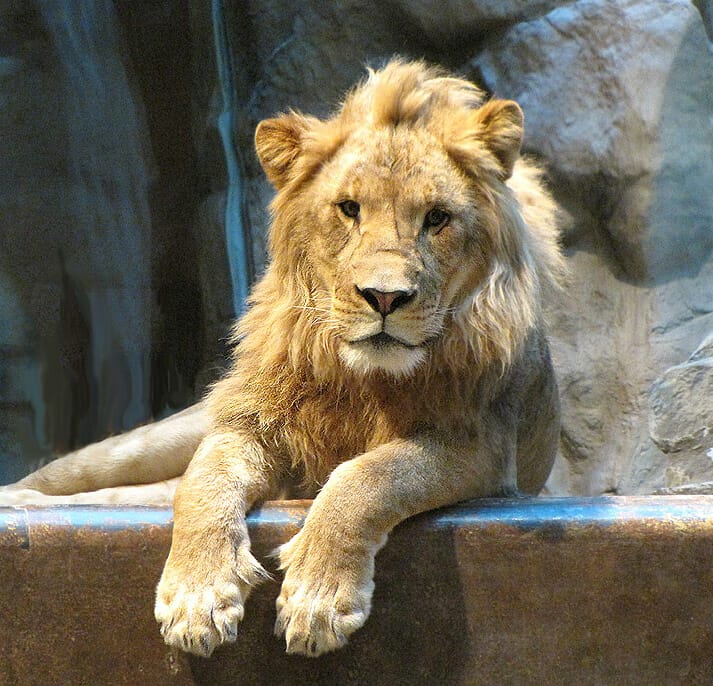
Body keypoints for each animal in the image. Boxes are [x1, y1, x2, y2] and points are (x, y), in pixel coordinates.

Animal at [0, 61, 560, 660]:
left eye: (437, 218)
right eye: (349, 209)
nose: (384, 298)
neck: (363, 378)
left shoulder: (481, 448)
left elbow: (368, 475)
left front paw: (318, 598)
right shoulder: (250, 424)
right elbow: (205, 479)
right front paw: (198, 595)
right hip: (152, 440)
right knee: (101, 476)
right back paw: (22, 499)